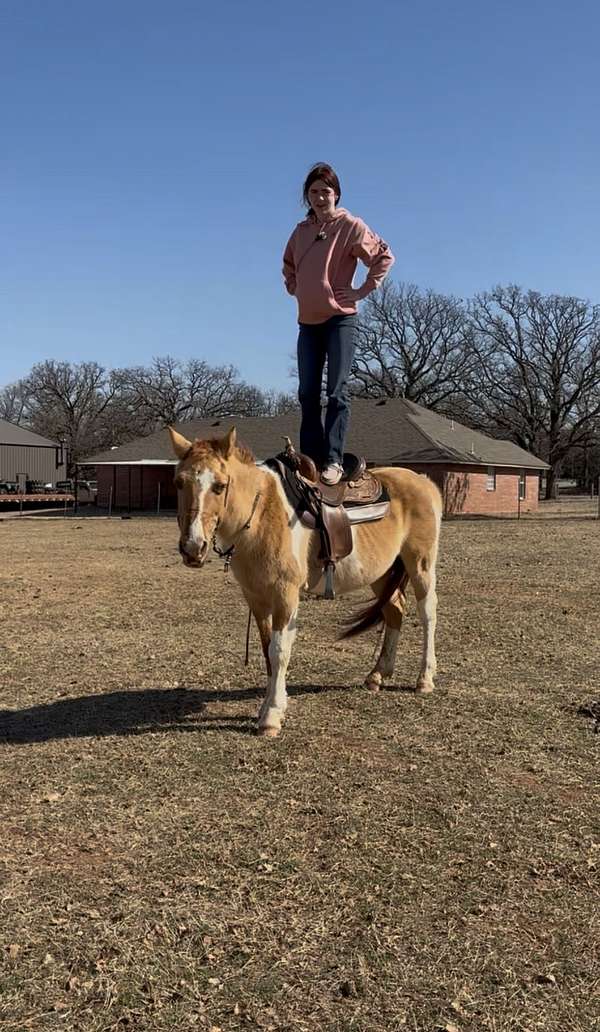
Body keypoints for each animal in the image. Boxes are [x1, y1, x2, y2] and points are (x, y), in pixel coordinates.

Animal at [169, 426, 442, 737]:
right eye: (179, 482)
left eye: (220, 485)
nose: (193, 547)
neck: (262, 514)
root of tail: (424, 482)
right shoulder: (256, 598)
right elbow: (267, 650)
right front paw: (272, 705)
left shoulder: (285, 595)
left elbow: (279, 650)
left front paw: (271, 716)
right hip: (382, 573)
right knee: (395, 610)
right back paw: (376, 675)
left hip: (420, 564)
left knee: (427, 613)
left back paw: (424, 679)